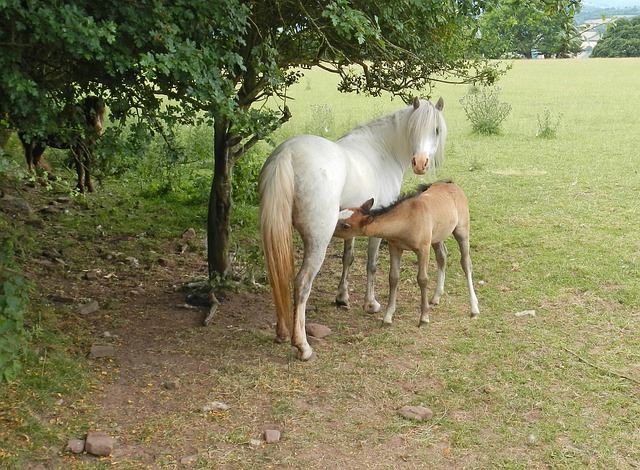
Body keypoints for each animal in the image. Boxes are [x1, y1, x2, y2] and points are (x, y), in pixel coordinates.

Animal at [259, 97, 446, 360]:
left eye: (436, 130)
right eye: (413, 129)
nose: (420, 163)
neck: (381, 151)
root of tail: (288, 153)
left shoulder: (351, 224)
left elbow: (347, 258)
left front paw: (342, 298)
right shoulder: (376, 228)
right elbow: (371, 265)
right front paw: (371, 304)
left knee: (280, 278)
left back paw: (282, 332)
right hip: (318, 241)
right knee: (302, 284)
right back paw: (303, 346)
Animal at [334, 181, 480, 325]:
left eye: (346, 226)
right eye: (341, 212)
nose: (331, 229)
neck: (406, 220)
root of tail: (450, 183)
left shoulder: (423, 249)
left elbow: (422, 279)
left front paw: (424, 317)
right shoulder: (395, 247)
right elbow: (393, 278)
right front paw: (388, 317)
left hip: (462, 230)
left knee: (466, 263)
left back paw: (474, 308)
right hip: (437, 236)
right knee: (442, 256)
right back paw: (436, 296)